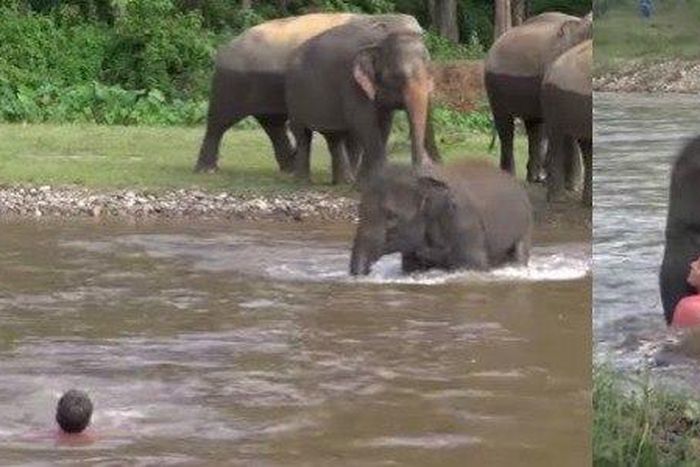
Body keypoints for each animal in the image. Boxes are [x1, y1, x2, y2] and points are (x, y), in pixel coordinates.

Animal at [193, 13, 422, 175]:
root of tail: (225, 47)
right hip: (231, 81)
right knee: (219, 121)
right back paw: (207, 170)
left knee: (273, 123)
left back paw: (289, 168)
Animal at [285, 20, 437, 184]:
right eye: (397, 76)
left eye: (430, 73)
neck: (380, 39)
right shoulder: (352, 83)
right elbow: (364, 122)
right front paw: (378, 179)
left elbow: (384, 124)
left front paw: (368, 180)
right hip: (293, 96)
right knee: (302, 135)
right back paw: (303, 181)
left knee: (333, 137)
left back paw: (343, 182)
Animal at [349, 162, 533, 275]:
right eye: (359, 210)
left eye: (391, 216)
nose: (366, 271)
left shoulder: (464, 222)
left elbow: (473, 264)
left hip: (524, 227)